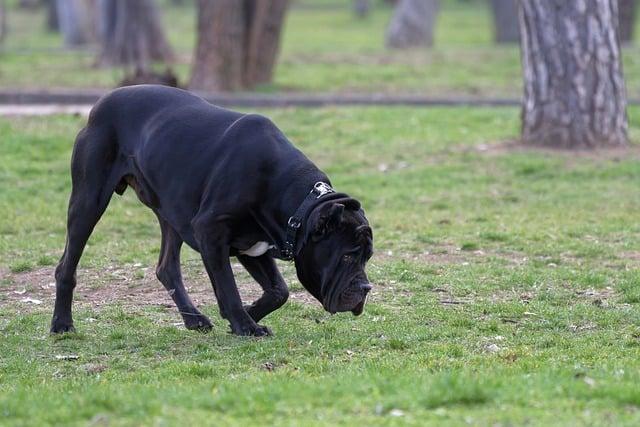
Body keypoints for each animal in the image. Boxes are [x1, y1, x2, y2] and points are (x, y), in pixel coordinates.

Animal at [51, 84, 376, 338]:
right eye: (347, 256)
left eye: (367, 257)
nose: (366, 287)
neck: (295, 201)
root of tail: (101, 102)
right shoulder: (210, 231)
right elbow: (228, 285)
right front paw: (245, 325)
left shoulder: (253, 244)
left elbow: (278, 291)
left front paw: (247, 314)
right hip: (89, 201)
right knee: (67, 264)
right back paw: (62, 324)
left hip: (171, 211)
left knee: (167, 267)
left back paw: (194, 319)